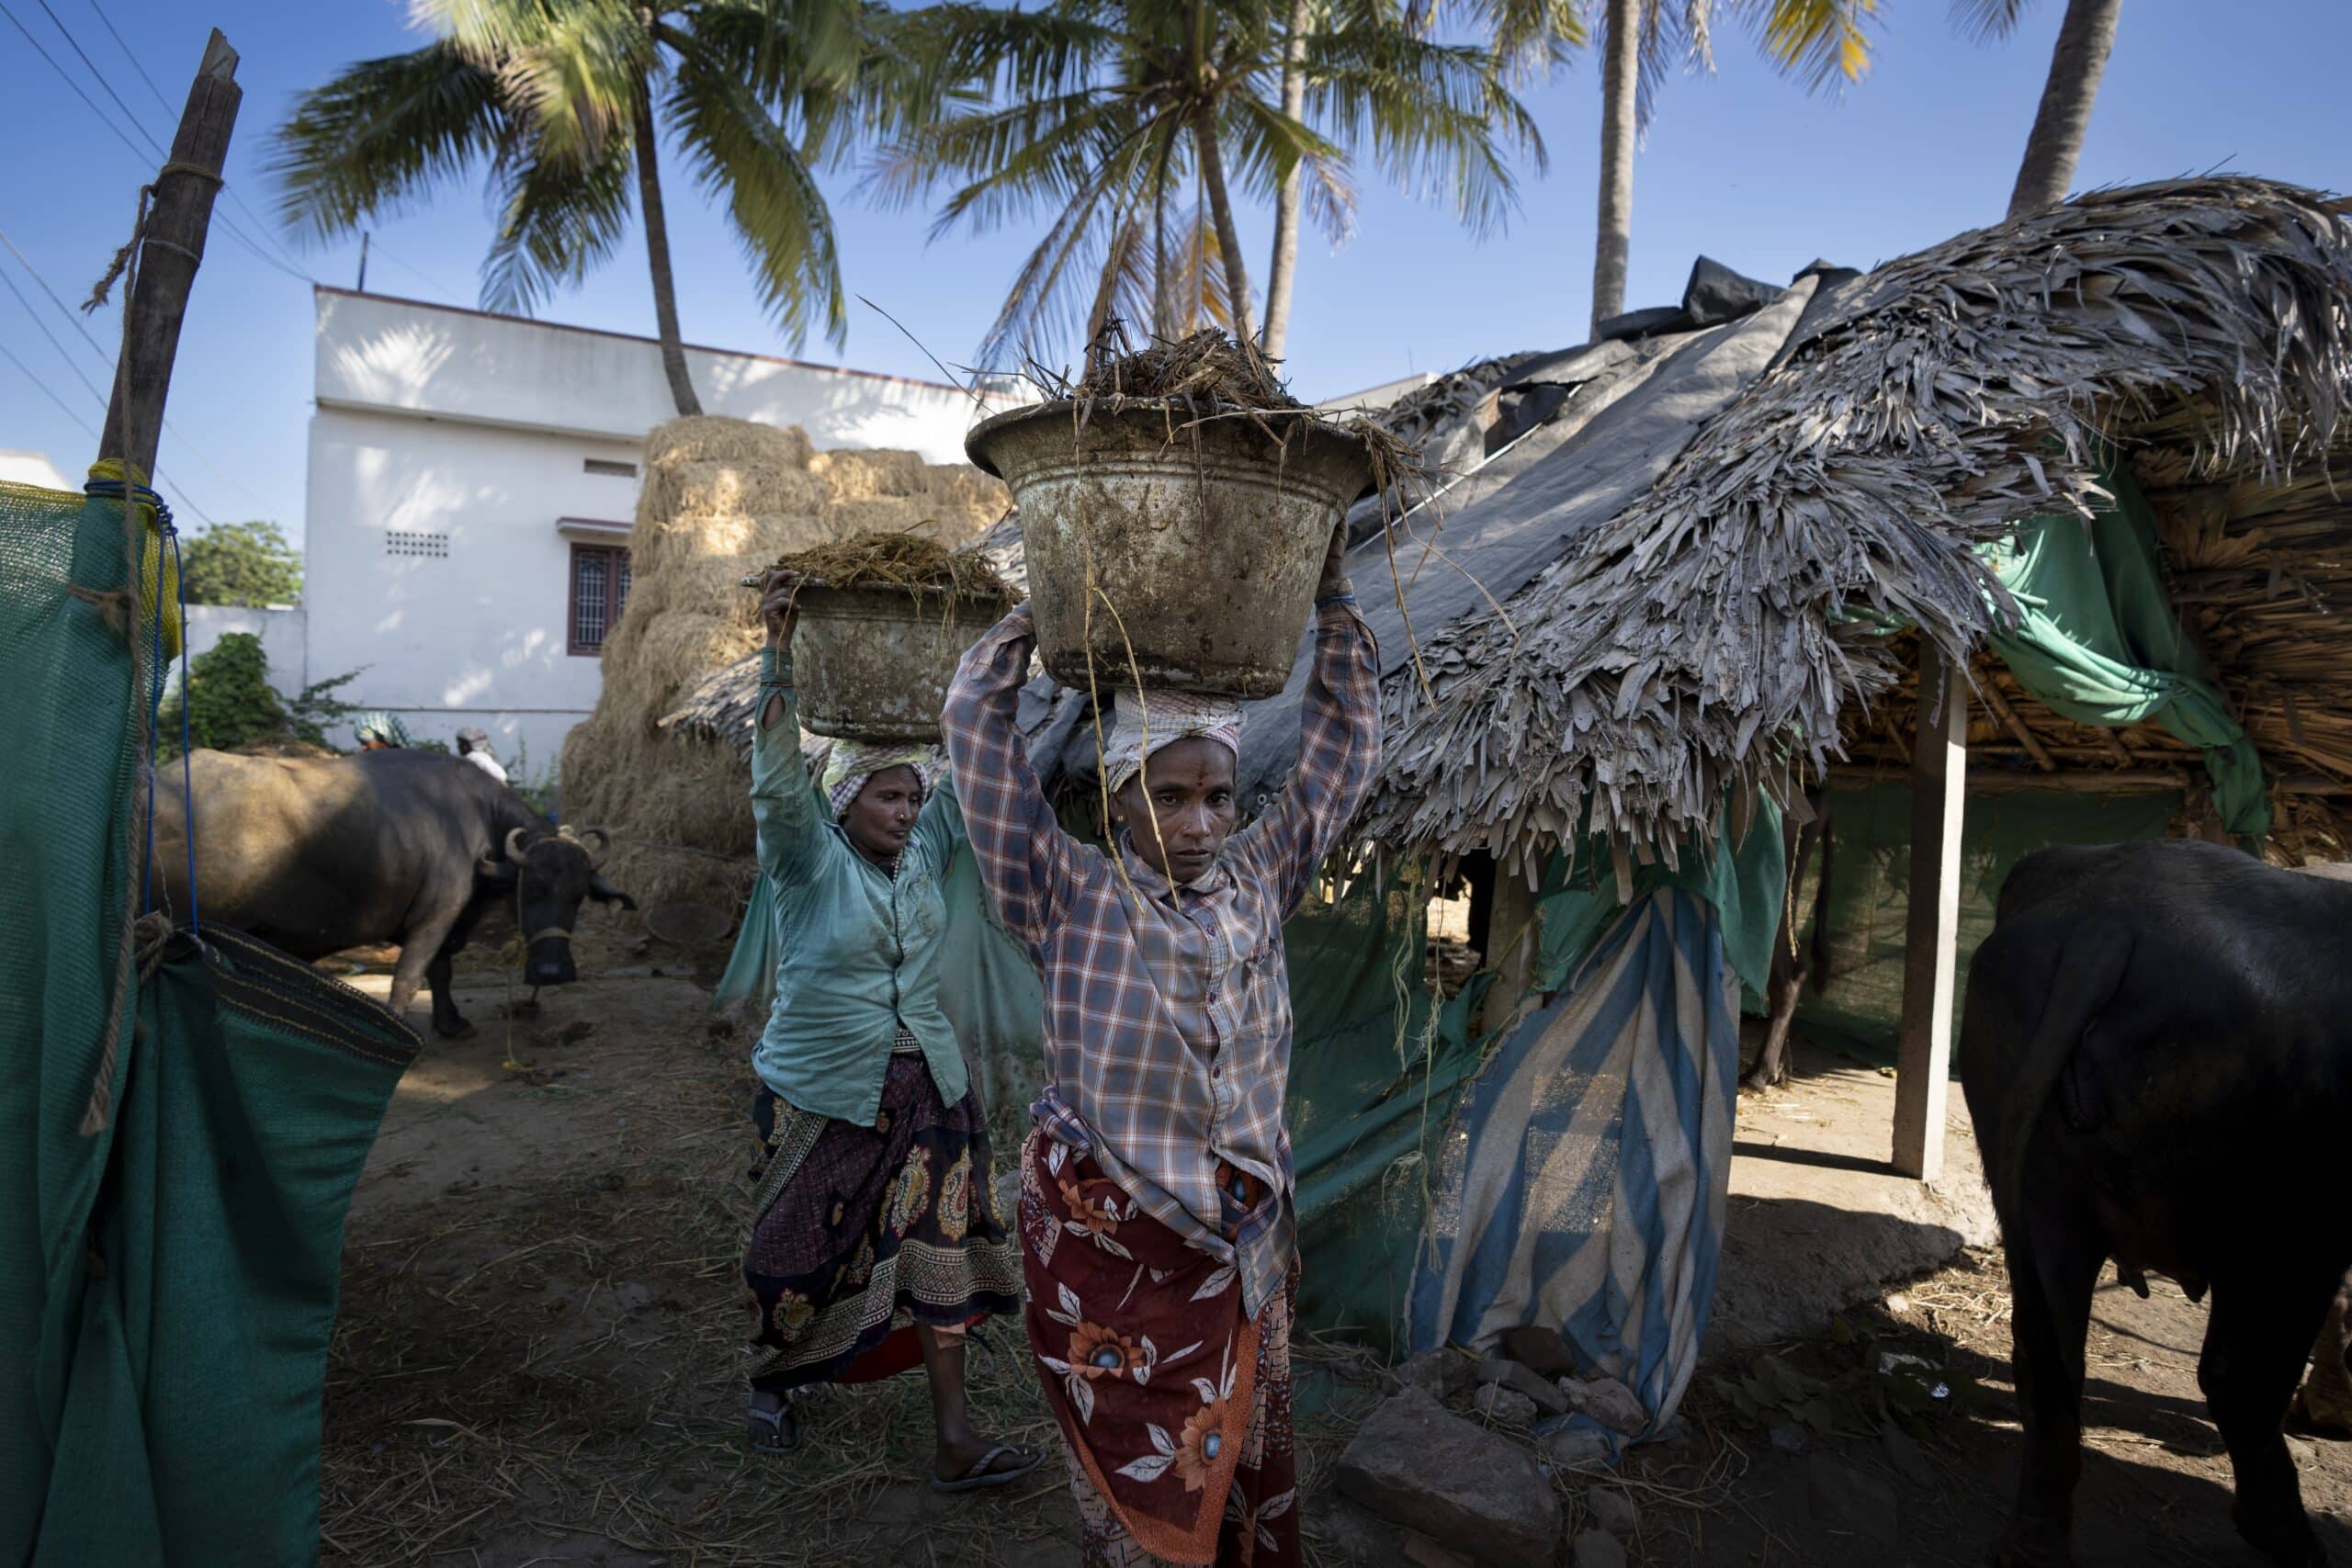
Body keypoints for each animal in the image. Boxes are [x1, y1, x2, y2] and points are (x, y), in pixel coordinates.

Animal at [154, 751, 635, 1043]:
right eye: (531, 889)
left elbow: (441, 972)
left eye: (578, 897)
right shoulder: (436, 916)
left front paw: (451, 1023)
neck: (479, 819)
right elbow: (410, 976)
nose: (552, 973)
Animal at [1956, 841, 2342, 1561]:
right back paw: (2295, 1541)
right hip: (2292, 1225)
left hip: (2041, 1195)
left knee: (2046, 1354)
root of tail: (2107, 926)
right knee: (2239, 1377)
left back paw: (2032, 1546)